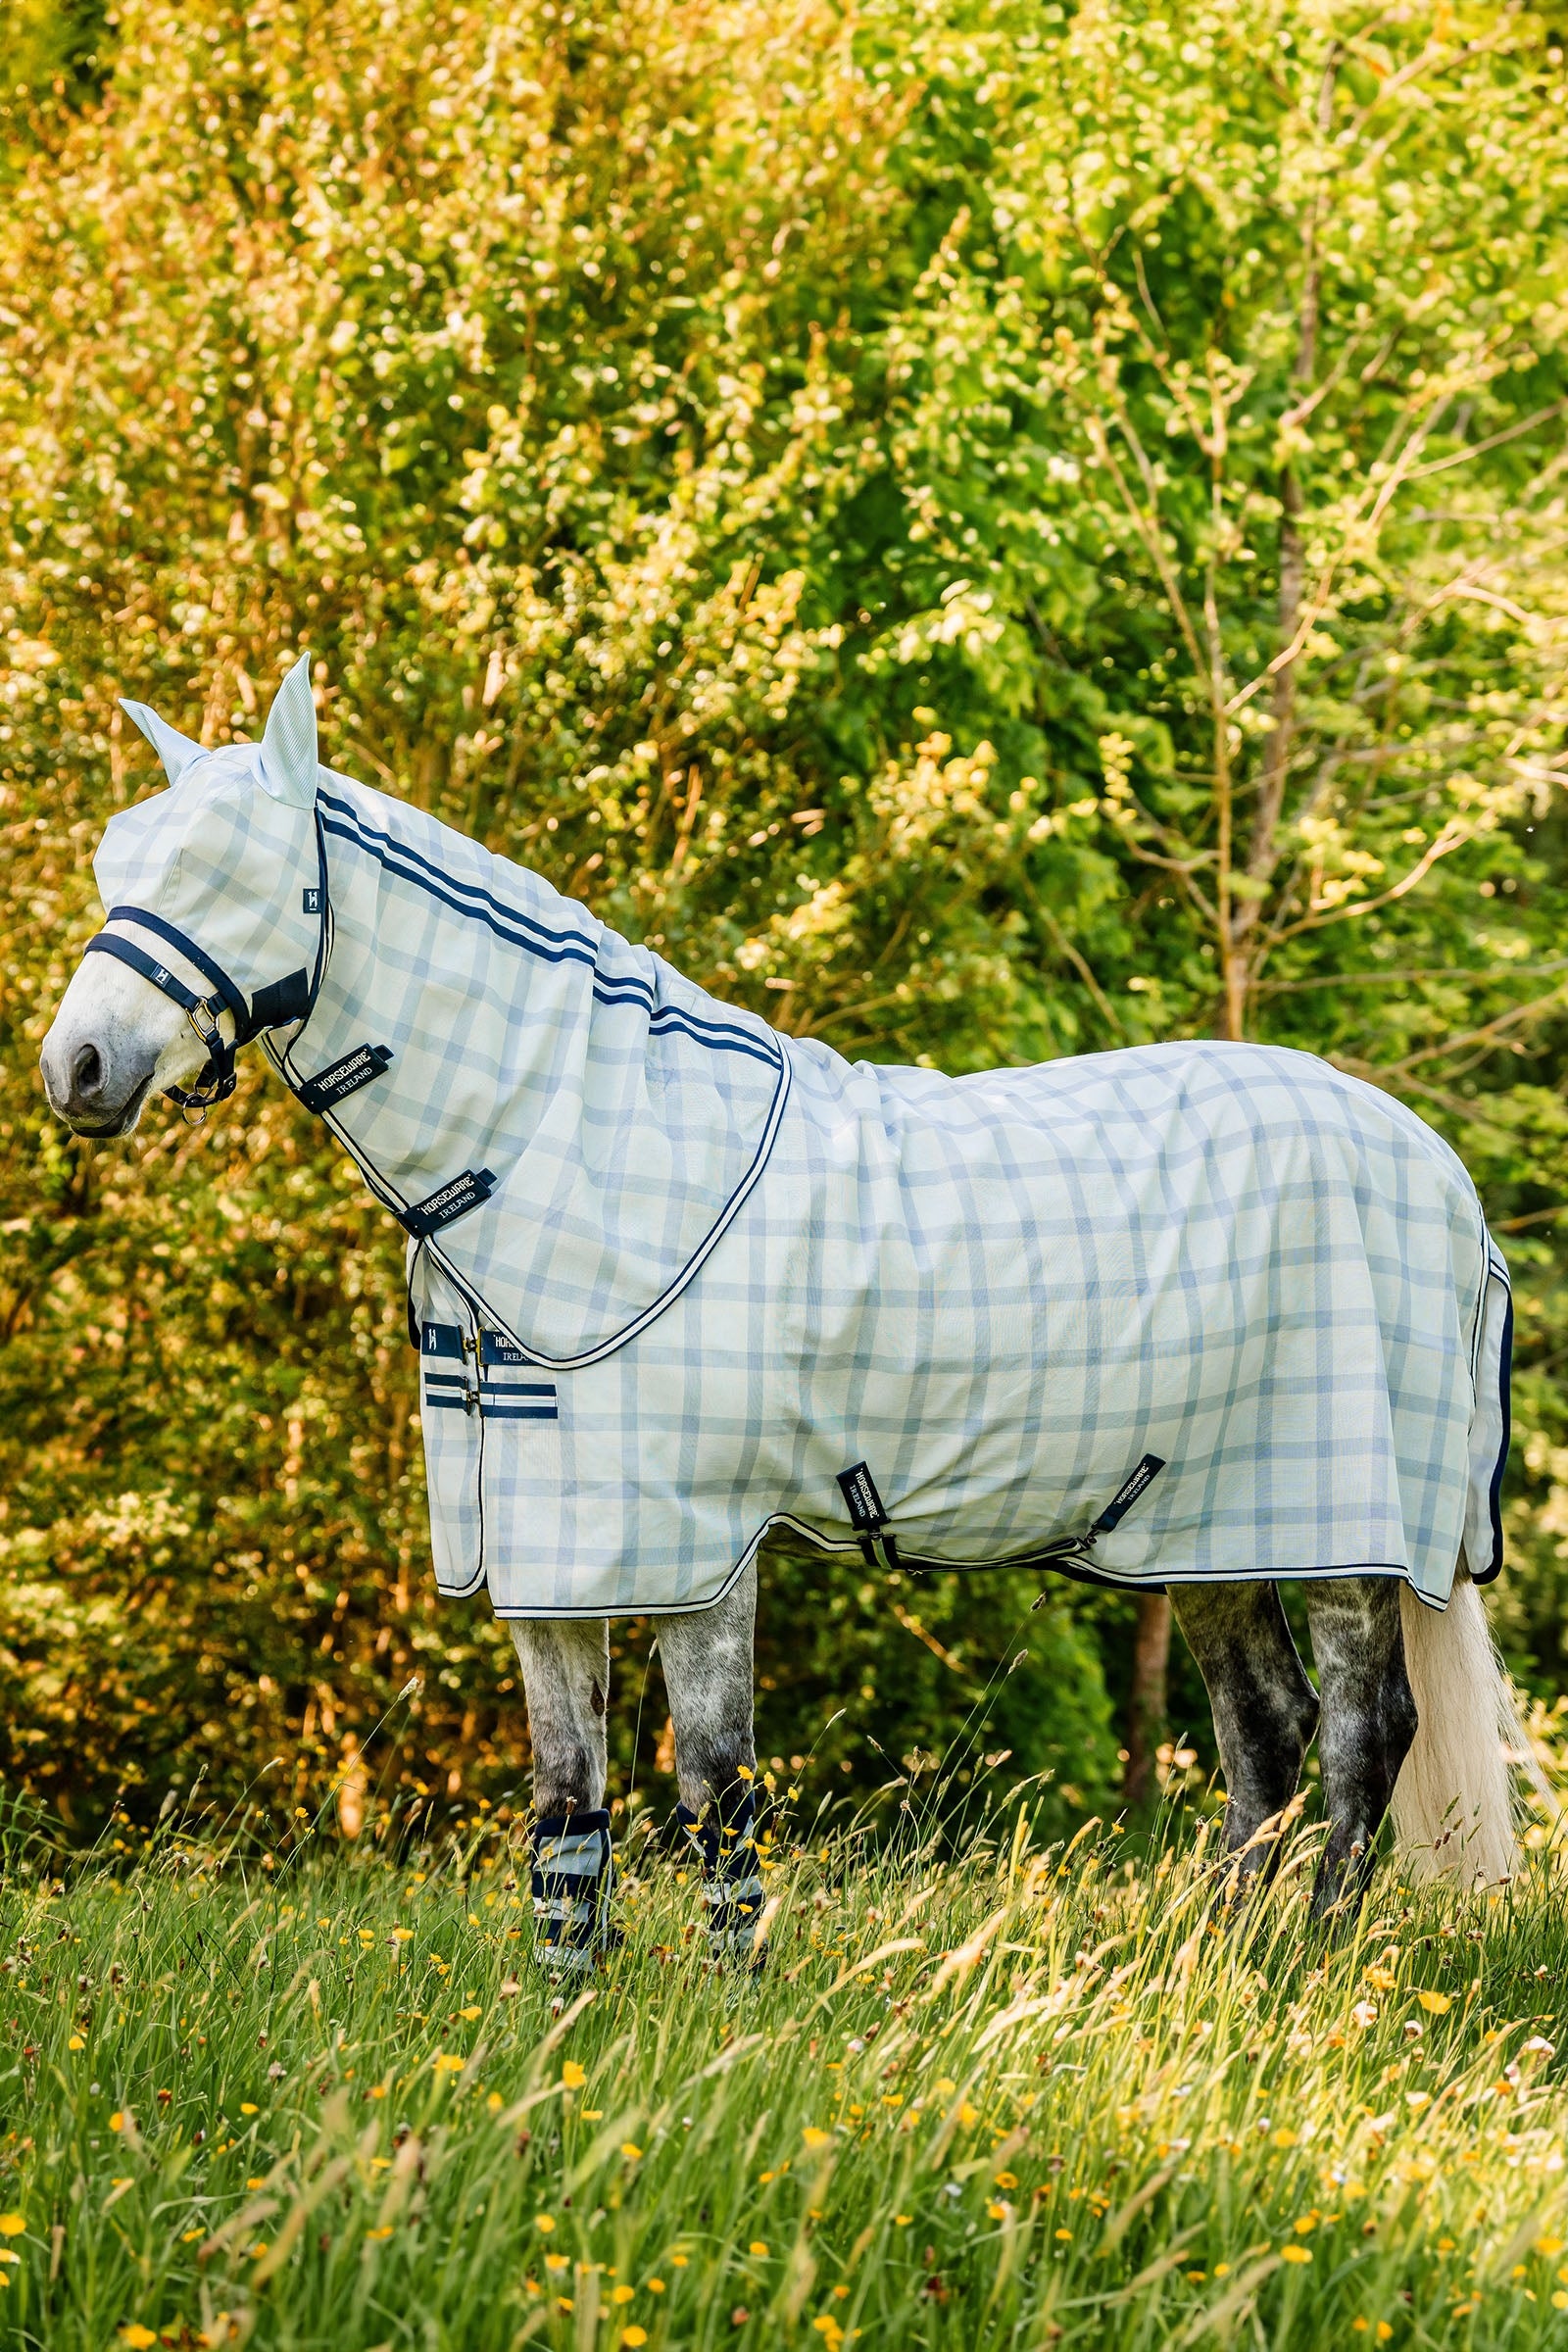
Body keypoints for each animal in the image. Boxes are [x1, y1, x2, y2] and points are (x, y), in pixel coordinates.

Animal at [40, 655, 1528, 1966]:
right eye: (120, 862)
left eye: (228, 869)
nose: (76, 1069)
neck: (592, 1143)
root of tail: (1436, 1174)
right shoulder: (554, 1555)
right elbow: (567, 1805)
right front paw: (565, 2019)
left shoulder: (697, 1545)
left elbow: (714, 1792)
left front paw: (729, 2007)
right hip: (1201, 1526)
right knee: (1265, 1730)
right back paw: (1211, 1972)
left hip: (1340, 1532)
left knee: (1361, 1738)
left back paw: (1306, 1976)